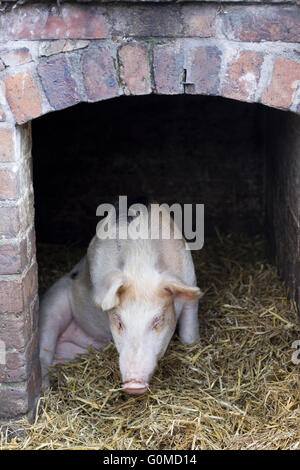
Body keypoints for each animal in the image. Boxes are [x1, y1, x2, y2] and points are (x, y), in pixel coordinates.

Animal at [39, 201, 202, 392]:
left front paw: (193, 344)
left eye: (158, 320)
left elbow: (189, 335)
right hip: (52, 304)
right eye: (119, 321)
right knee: (43, 354)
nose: (133, 384)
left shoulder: (190, 279)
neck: (140, 263)